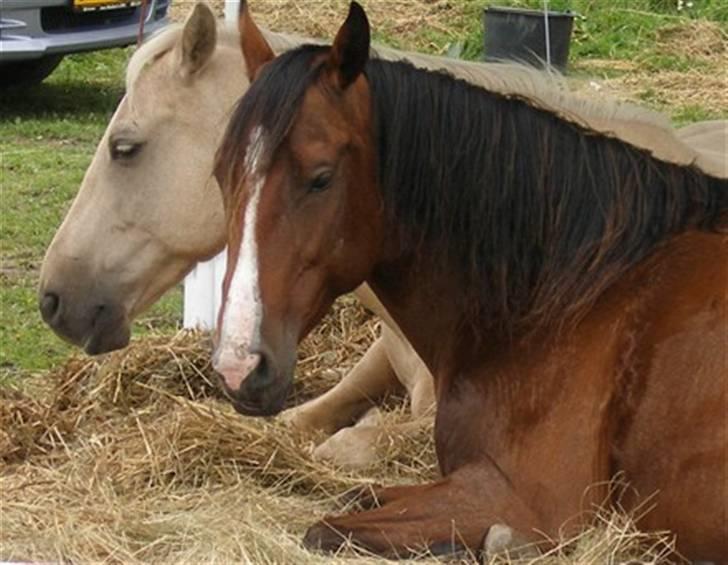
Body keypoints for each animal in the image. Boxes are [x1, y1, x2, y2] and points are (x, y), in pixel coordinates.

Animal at [213, 1, 728, 560]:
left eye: (321, 177)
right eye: (221, 174)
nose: (239, 367)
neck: (574, 294)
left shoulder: (521, 500)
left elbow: (328, 527)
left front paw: (500, 545)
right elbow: (358, 496)